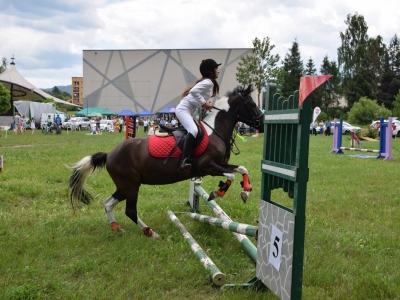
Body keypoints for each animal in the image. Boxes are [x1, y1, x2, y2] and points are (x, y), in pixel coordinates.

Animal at [68, 85, 262, 238]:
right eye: (252, 104)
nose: (262, 123)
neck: (215, 132)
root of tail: (109, 154)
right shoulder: (207, 167)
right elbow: (231, 175)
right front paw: (218, 192)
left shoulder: (220, 165)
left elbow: (242, 169)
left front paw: (245, 191)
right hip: (131, 186)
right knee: (130, 210)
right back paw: (151, 232)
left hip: (124, 186)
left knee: (107, 203)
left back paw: (117, 228)